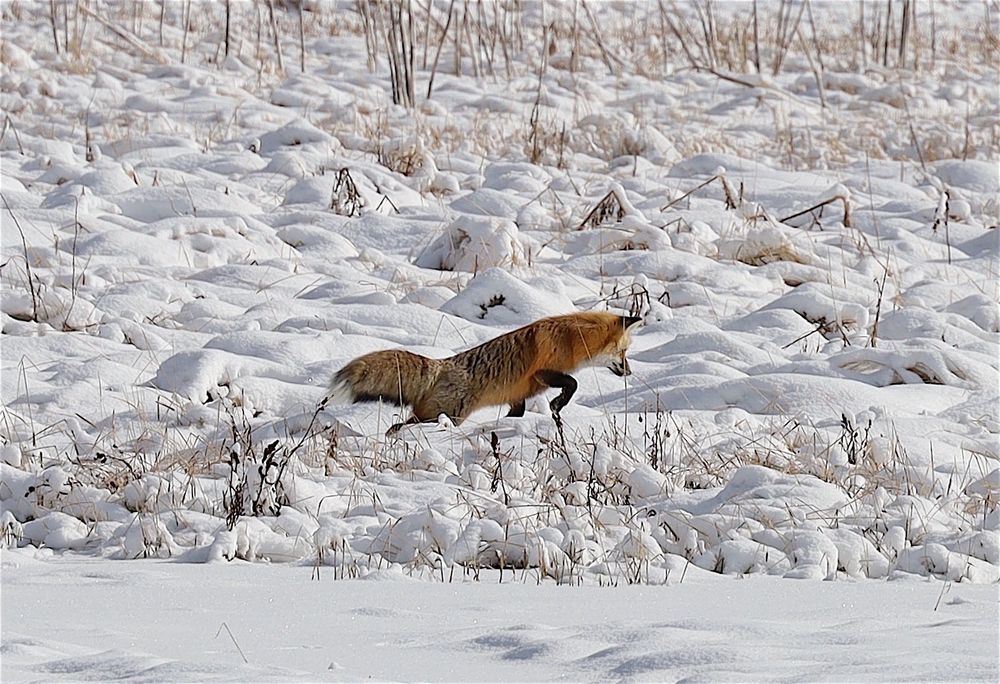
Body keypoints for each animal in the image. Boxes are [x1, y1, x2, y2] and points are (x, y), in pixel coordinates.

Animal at [329, 311, 642, 434]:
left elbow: (517, 413)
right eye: (624, 352)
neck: (571, 338)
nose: (629, 371)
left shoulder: (519, 395)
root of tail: (441, 364)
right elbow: (573, 383)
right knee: (398, 427)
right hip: (447, 415)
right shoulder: (543, 372)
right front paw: (557, 404)